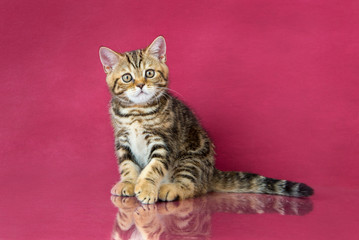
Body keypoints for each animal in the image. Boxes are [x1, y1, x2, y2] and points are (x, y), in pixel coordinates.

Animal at [99, 36, 316, 204]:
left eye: (149, 73)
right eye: (127, 77)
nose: (141, 85)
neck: (137, 112)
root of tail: (211, 173)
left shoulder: (164, 142)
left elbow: (154, 167)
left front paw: (145, 187)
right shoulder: (123, 141)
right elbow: (127, 165)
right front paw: (128, 183)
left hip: (190, 158)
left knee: (192, 186)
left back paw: (170, 189)